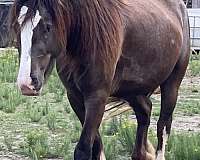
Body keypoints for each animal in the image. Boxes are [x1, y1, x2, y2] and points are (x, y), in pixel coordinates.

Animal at [9, 0, 191, 159]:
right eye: (17, 26)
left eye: (47, 26)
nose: (26, 84)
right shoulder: (75, 97)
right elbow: (96, 145)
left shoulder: (97, 97)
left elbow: (83, 149)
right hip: (132, 89)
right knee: (145, 113)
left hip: (171, 85)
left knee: (163, 126)